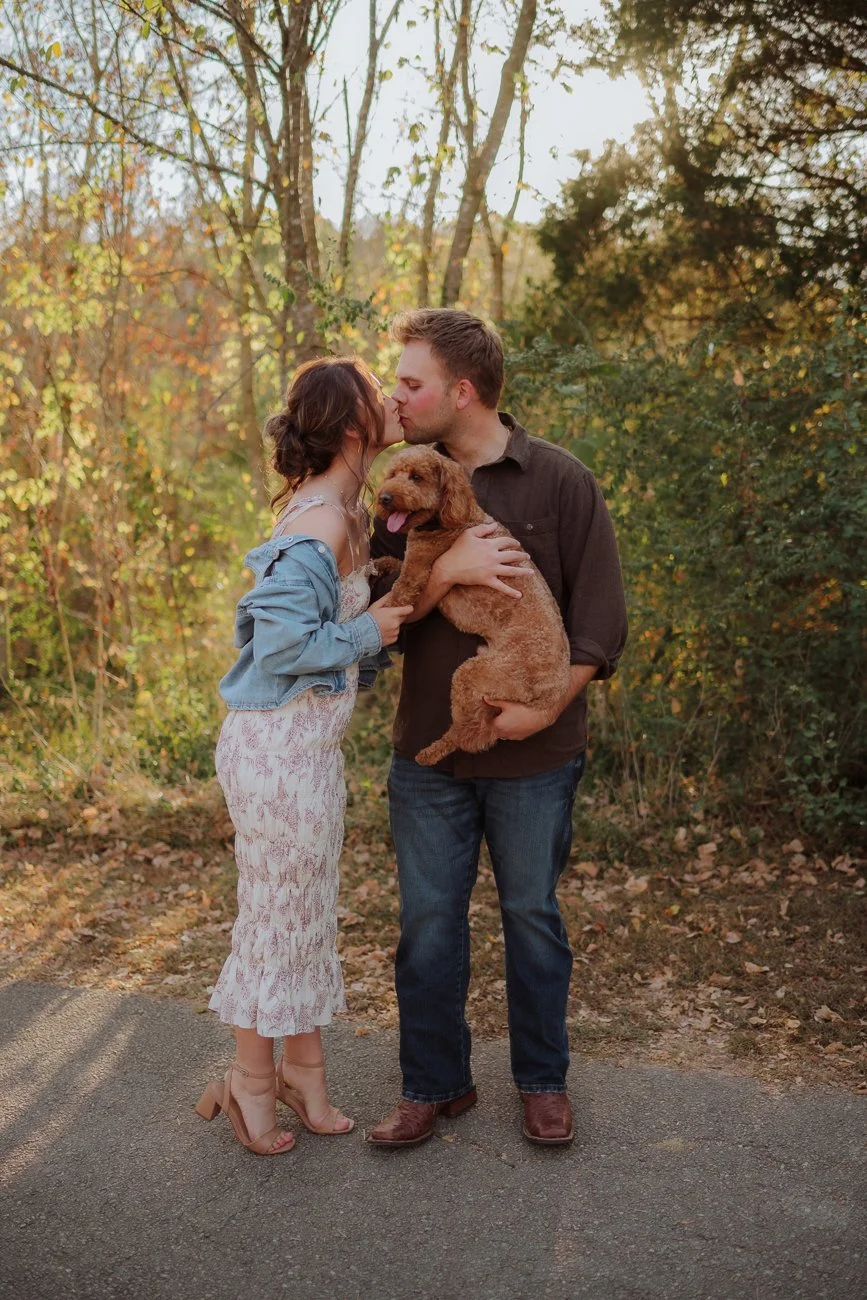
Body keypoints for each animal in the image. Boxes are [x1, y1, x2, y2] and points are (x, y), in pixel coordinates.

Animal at [374, 446, 571, 766]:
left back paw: (432, 752)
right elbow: (394, 564)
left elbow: (398, 595)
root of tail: (554, 691)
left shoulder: (416, 571)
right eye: (393, 474)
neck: (445, 520)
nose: (385, 498)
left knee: (475, 734)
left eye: (416, 477)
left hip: (478, 675)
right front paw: (380, 563)